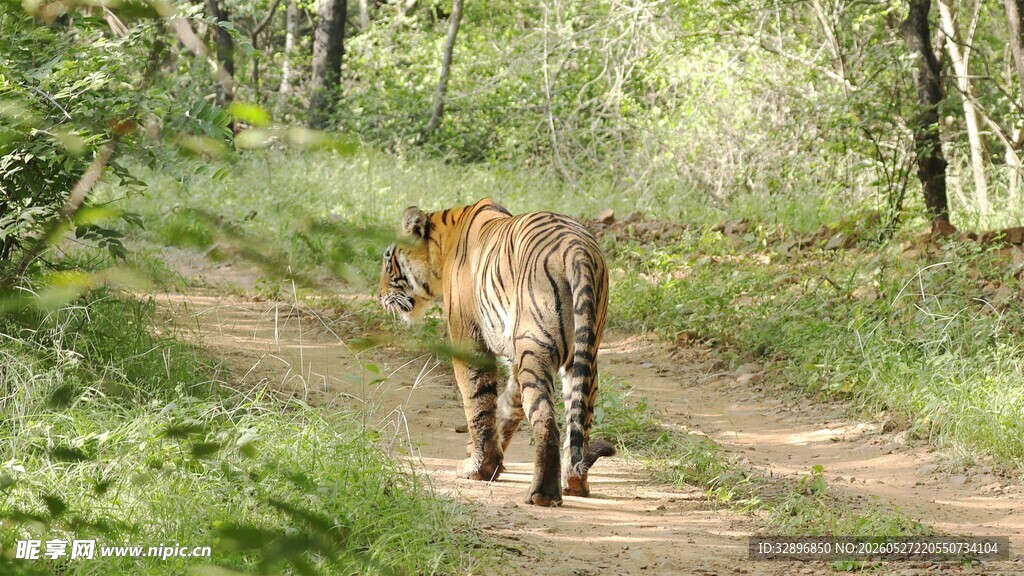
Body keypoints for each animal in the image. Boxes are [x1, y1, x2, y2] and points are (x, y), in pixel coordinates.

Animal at [377, 198, 615, 506]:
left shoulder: (468, 339)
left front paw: (478, 468)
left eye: (388, 261)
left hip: (536, 347)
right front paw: (490, 459)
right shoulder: (514, 357)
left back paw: (542, 494)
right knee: (578, 422)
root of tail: (578, 250)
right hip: (583, 357)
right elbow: (506, 405)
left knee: (546, 421)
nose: (379, 296)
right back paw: (574, 483)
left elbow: (478, 403)